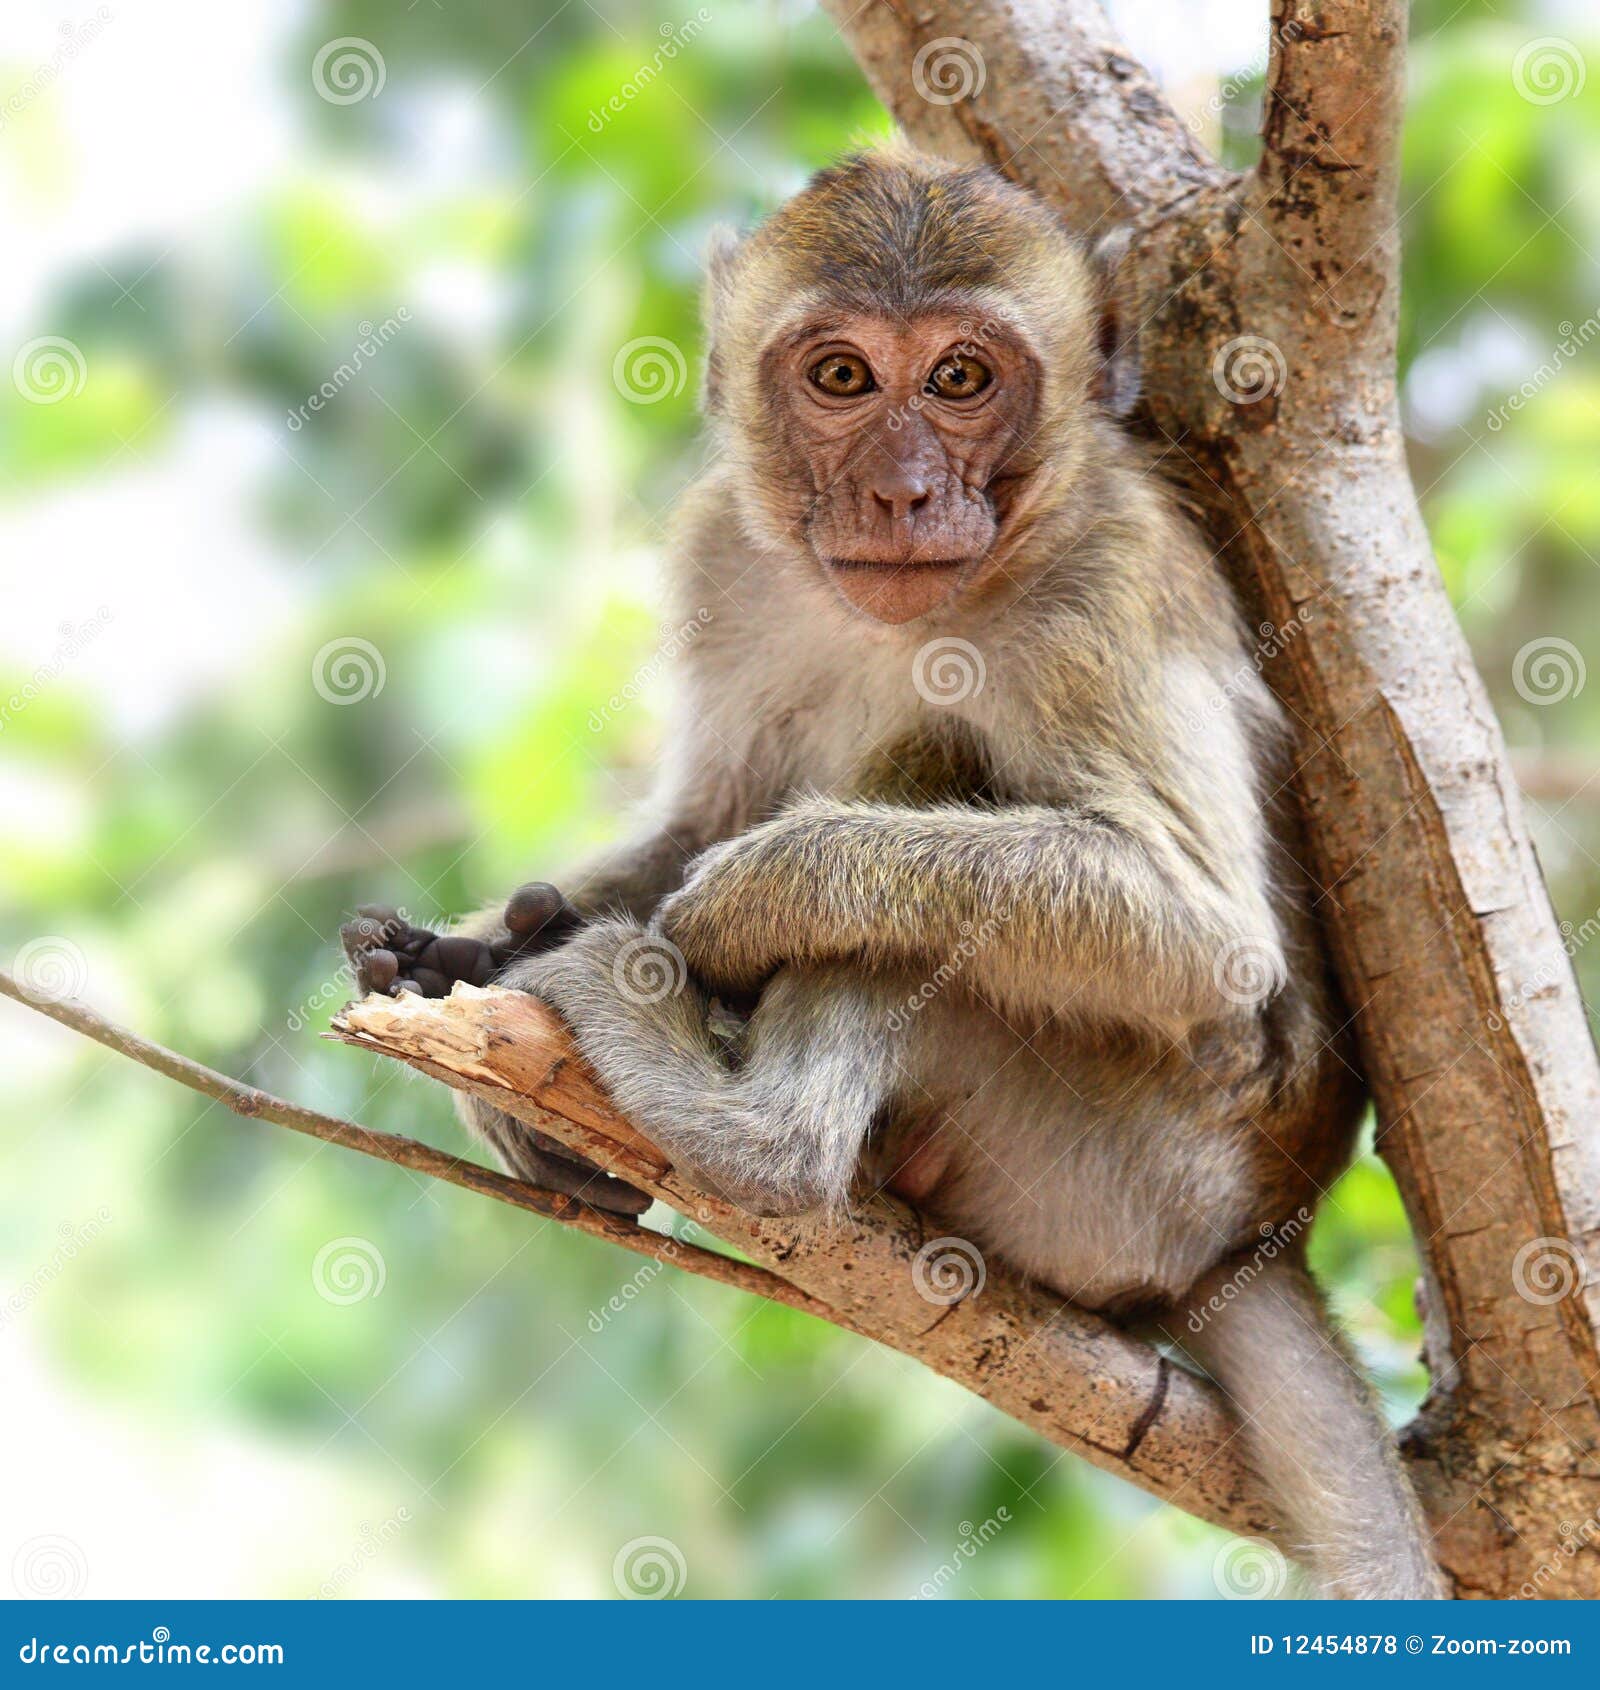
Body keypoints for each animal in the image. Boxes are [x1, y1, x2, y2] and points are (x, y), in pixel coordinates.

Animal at [348, 141, 1453, 1595]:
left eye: (961, 378)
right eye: (841, 377)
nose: (902, 493)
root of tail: (1258, 1233)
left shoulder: (1105, 587)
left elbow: (1204, 937)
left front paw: (735, 906)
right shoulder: (720, 553)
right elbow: (709, 803)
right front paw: (472, 947)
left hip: (1122, 1166)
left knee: (925, 825)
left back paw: (742, 1123)